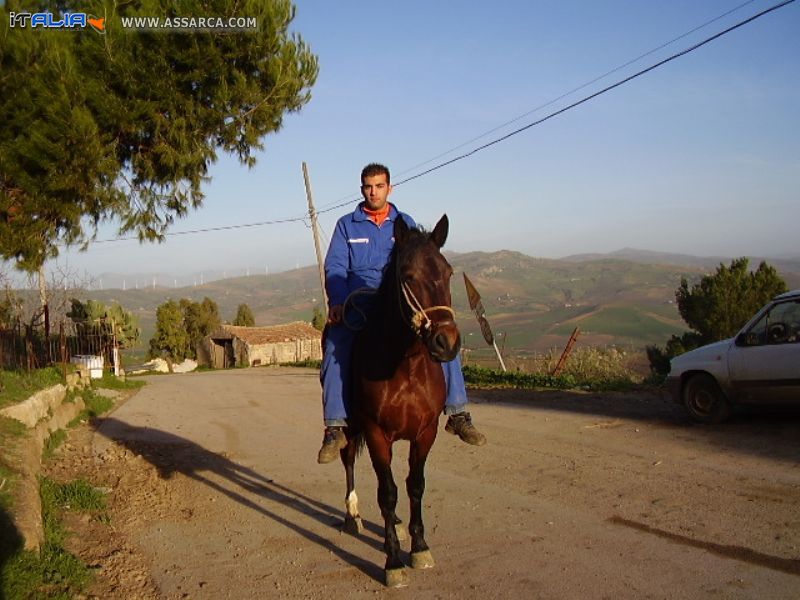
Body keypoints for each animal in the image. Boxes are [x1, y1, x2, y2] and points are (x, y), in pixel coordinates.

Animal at [340, 213, 462, 588]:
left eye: (448, 272)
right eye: (408, 276)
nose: (446, 342)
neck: (404, 364)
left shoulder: (425, 432)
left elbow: (414, 486)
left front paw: (419, 546)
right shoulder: (376, 432)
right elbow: (388, 492)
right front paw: (393, 561)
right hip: (351, 429)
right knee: (347, 459)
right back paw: (352, 515)